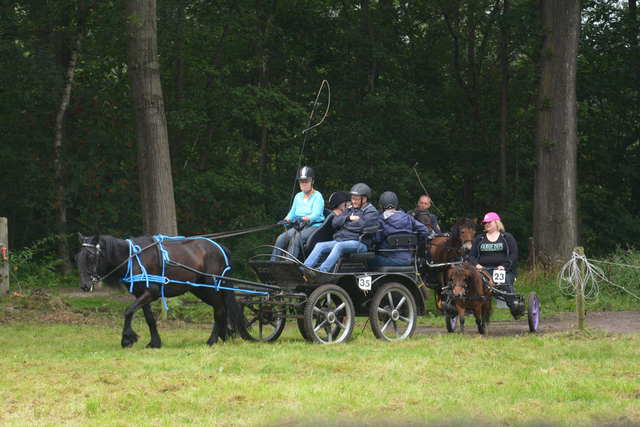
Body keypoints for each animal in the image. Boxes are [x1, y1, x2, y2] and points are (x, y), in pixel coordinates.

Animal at [74, 234, 246, 348]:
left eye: (91, 257)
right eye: (77, 257)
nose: (84, 285)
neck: (133, 258)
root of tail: (219, 247)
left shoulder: (151, 293)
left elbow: (128, 311)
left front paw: (127, 340)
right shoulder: (142, 294)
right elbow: (149, 319)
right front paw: (154, 343)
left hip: (213, 288)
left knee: (219, 312)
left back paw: (212, 340)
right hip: (201, 290)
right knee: (222, 309)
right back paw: (224, 335)